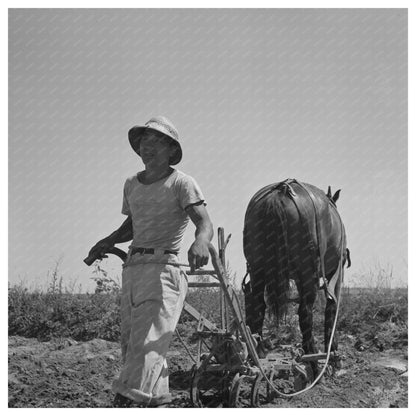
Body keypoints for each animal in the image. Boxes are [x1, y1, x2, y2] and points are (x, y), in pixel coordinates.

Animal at [242, 179, 350, 374]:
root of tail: (280, 192)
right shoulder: (336, 272)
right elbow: (332, 308)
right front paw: (333, 353)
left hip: (257, 268)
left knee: (258, 305)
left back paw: (259, 350)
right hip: (307, 271)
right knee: (305, 311)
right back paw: (312, 358)